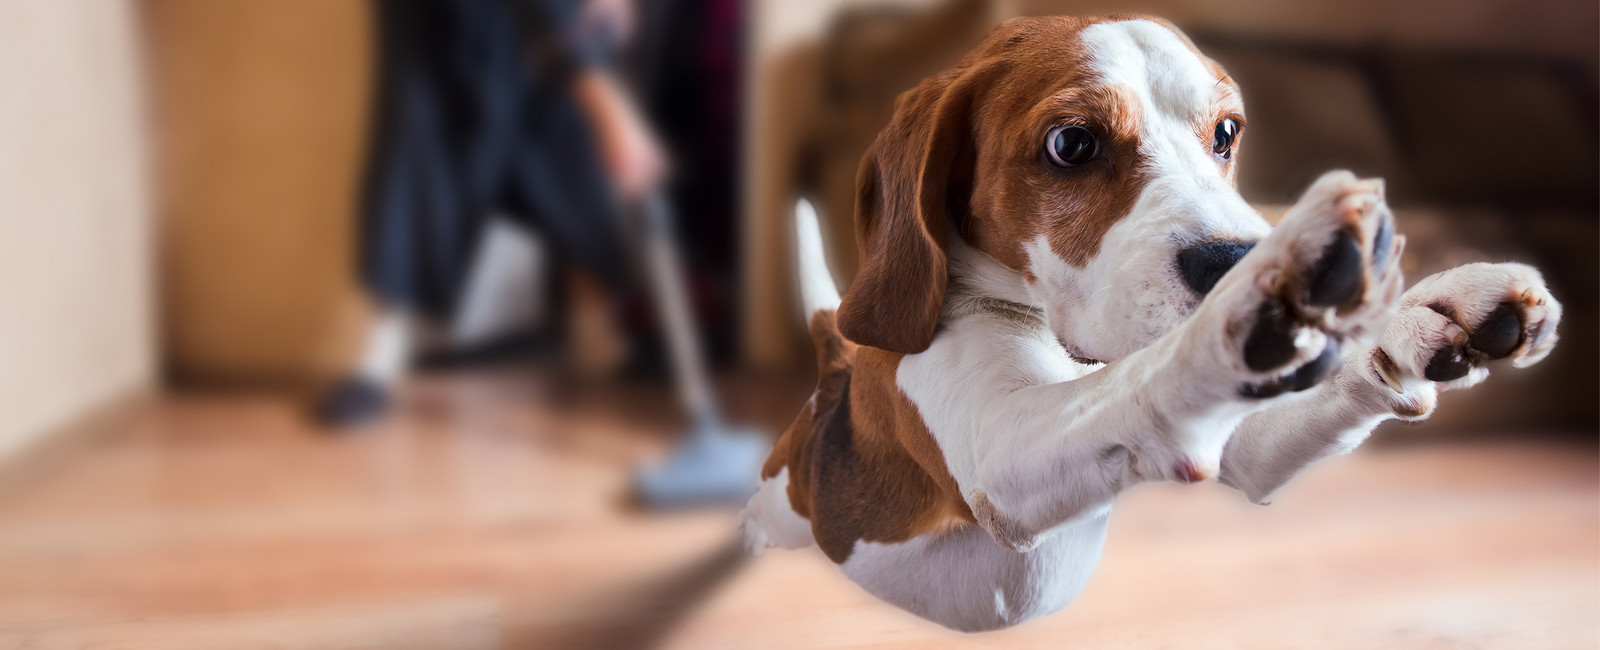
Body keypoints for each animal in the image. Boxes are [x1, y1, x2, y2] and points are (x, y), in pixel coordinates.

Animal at [739, 15, 1561, 630]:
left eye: (1226, 132)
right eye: (1071, 144)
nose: (1237, 257)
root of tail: (831, 380)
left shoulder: (1243, 445)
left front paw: (1423, 314)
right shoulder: (1000, 448)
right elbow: (1149, 375)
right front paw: (1260, 298)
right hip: (787, 497)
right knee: (760, 511)